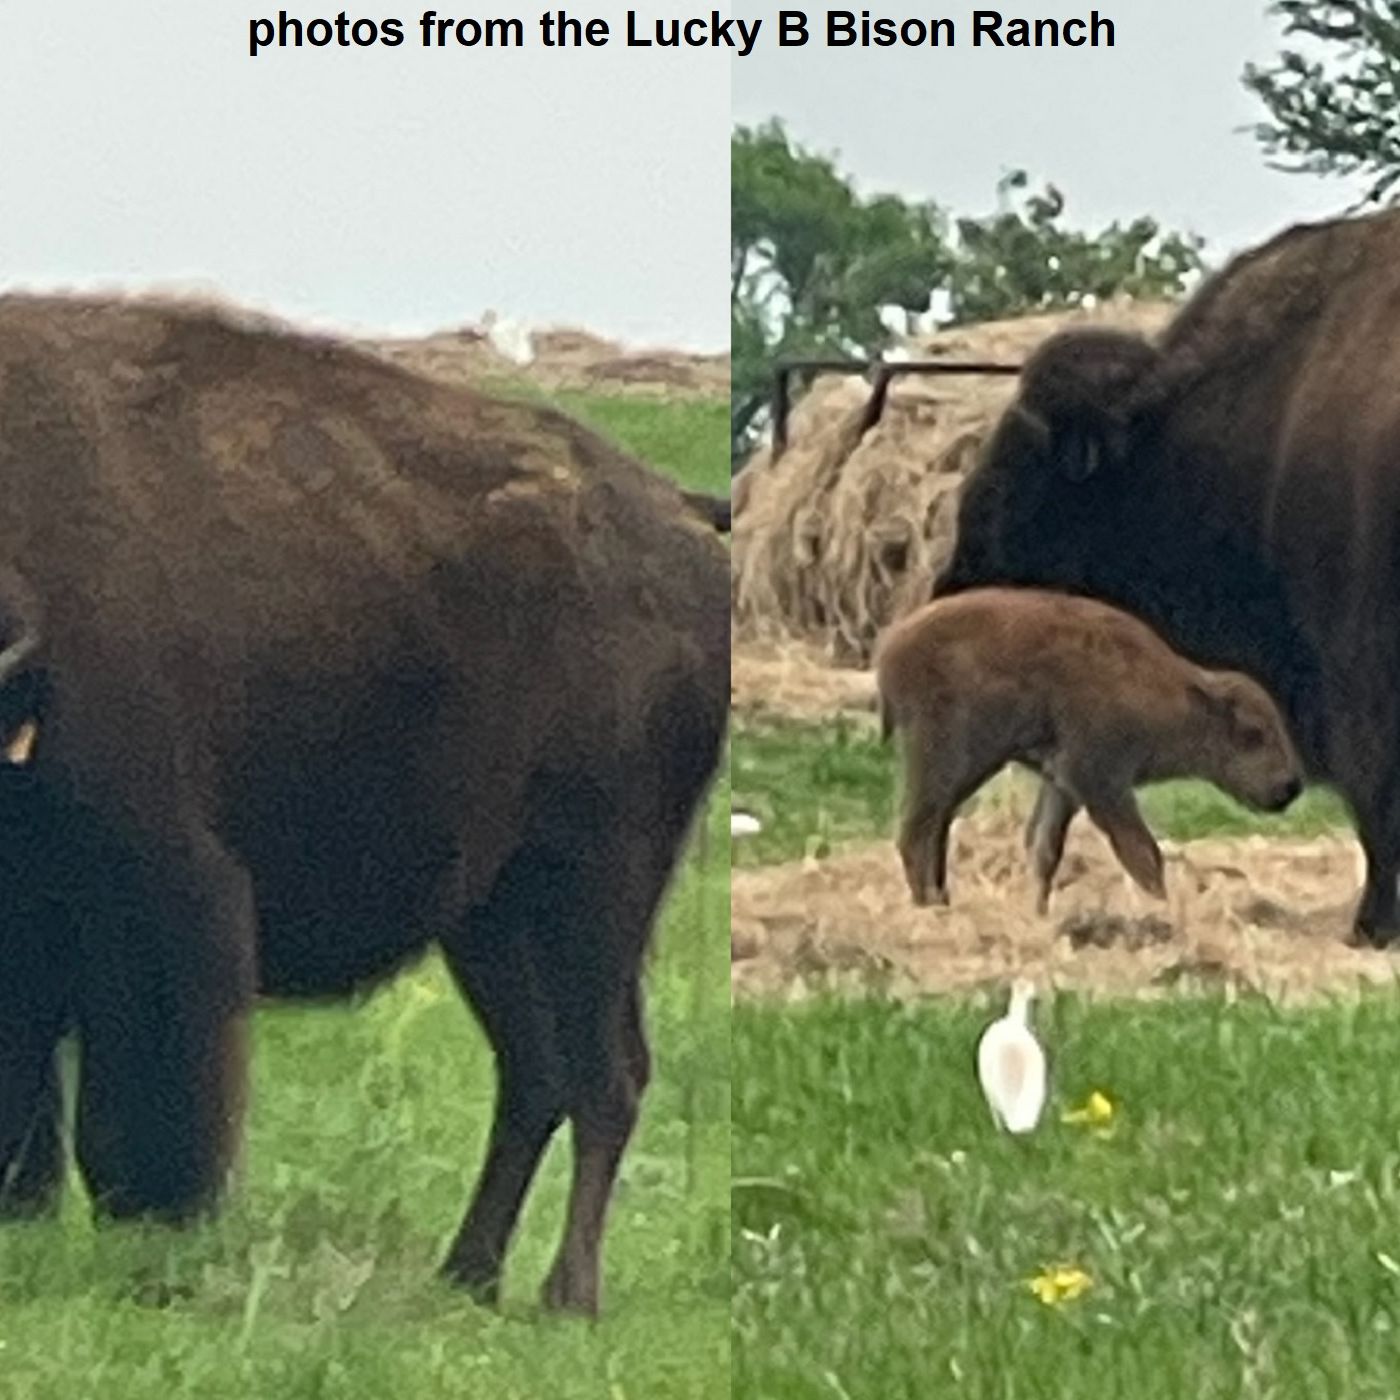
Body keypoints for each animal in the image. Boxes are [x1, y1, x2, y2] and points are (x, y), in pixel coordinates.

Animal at [0, 294, 729, 1315]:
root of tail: (683, 521)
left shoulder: (171, 899)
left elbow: (143, 1120)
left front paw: (164, 1255)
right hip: (492, 920)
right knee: (536, 1075)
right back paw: (466, 1274)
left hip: (596, 893)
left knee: (606, 1077)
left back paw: (565, 1296)